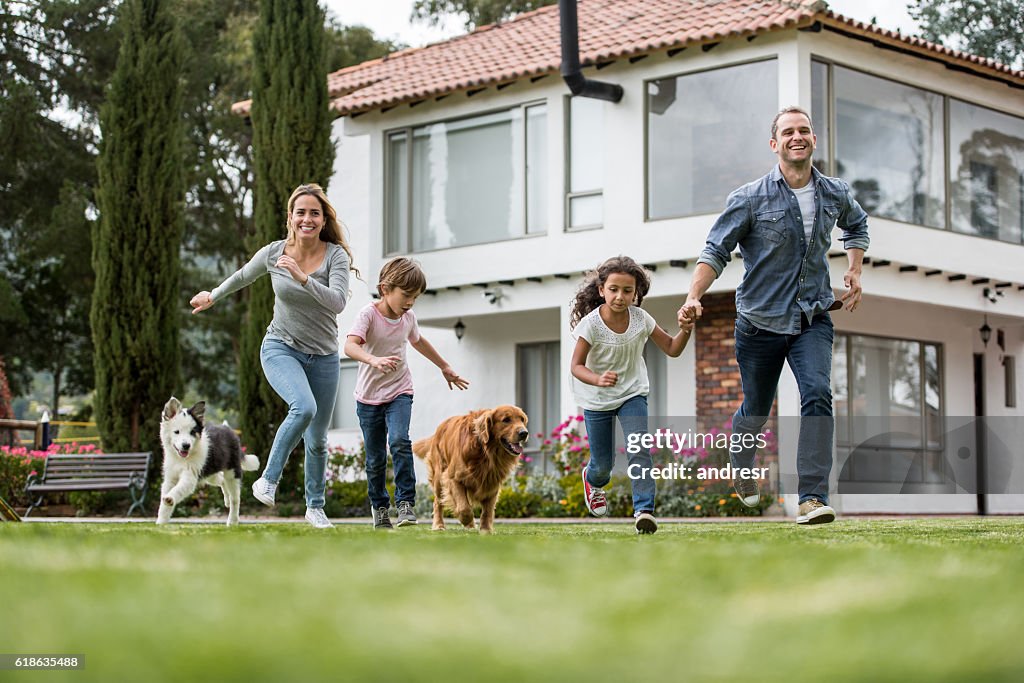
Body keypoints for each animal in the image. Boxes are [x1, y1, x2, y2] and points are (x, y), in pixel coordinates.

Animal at [158, 397, 260, 528]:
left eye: (192, 432)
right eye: (177, 432)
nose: (186, 446)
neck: (181, 459)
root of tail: (228, 429)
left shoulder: (190, 477)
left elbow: (178, 489)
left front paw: (170, 498)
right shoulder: (170, 478)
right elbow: (164, 501)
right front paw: (161, 521)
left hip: (232, 472)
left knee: (235, 499)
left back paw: (232, 520)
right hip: (210, 473)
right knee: (221, 480)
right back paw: (226, 499)